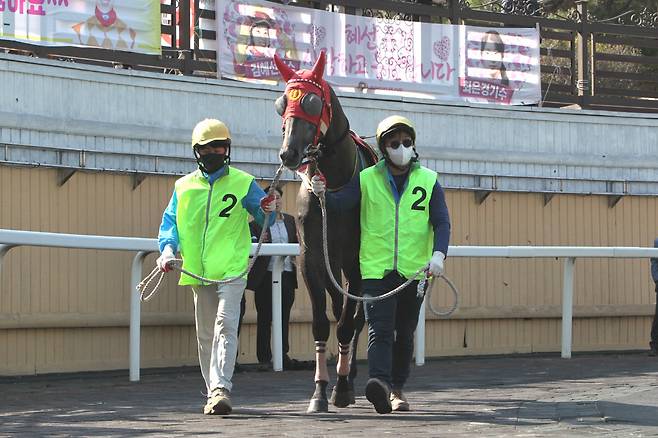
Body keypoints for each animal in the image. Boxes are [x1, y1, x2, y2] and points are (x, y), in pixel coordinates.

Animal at [270, 53, 374, 412]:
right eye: (281, 103)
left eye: (312, 103)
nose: (288, 153)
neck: (333, 186)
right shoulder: (311, 256)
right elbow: (320, 323)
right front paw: (319, 390)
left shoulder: (356, 260)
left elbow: (346, 323)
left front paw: (339, 388)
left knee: (357, 317)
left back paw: (351, 376)